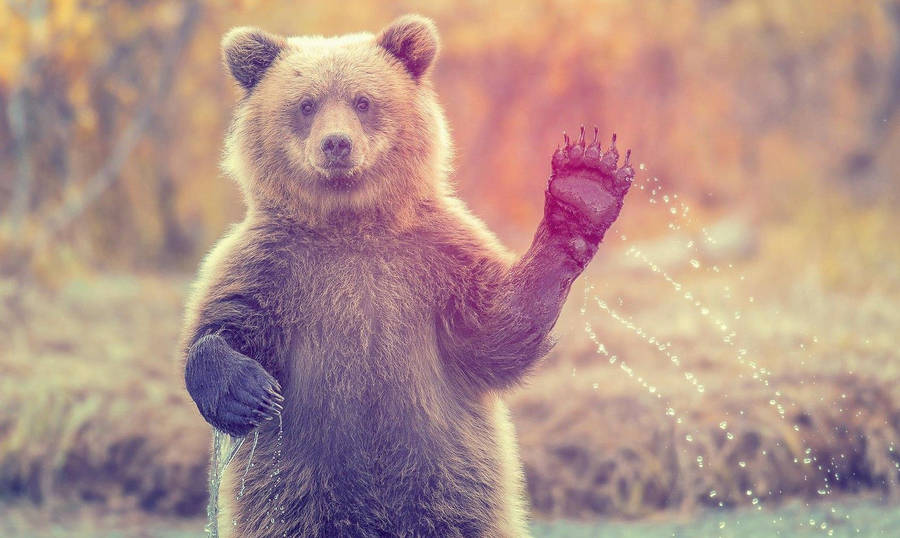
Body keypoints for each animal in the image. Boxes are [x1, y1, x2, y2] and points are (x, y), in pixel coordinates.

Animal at [181, 14, 633, 538]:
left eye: (363, 101)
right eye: (306, 104)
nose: (337, 144)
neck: (350, 224)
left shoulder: (433, 258)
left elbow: (496, 331)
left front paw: (584, 189)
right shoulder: (272, 264)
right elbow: (223, 323)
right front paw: (248, 393)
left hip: (451, 488)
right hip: (294, 493)